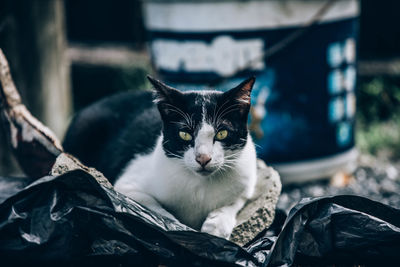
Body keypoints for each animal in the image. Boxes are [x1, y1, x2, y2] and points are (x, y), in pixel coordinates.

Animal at [62, 76, 256, 240]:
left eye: (222, 133)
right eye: (185, 134)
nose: (203, 158)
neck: (201, 185)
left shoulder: (246, 180)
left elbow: (236, 201)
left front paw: (216, 226)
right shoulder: (128, 184)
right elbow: (153, 208)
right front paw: (177, 229)